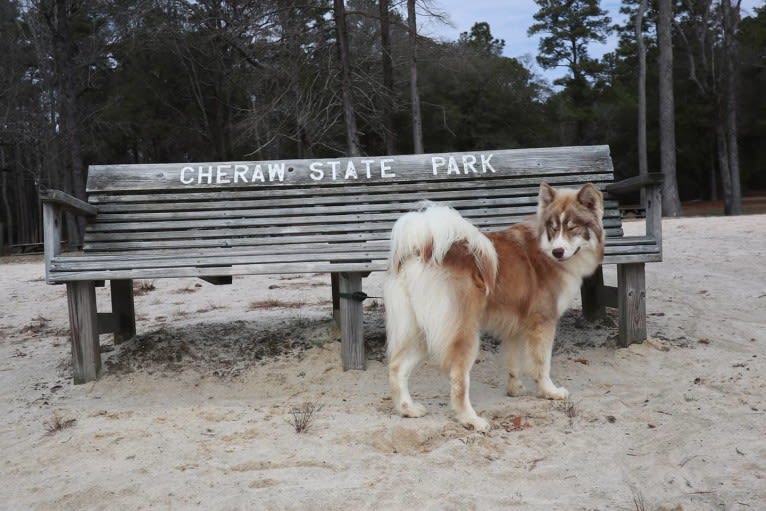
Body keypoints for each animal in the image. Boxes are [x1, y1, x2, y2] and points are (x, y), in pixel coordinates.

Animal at [384, 184, 608, 432]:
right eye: (554, 228)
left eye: (573, 227)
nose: (558, 251)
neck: (544, 246)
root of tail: (424, 246)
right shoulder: (543, 321)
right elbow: (542, 363)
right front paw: (549, 391)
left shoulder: (517, 326)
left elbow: (513, 361)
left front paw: (516, 390)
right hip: (464, 333)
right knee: (458, 380)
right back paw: (471, 420)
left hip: (422, 330)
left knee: (397, 367)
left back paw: (407, 409)